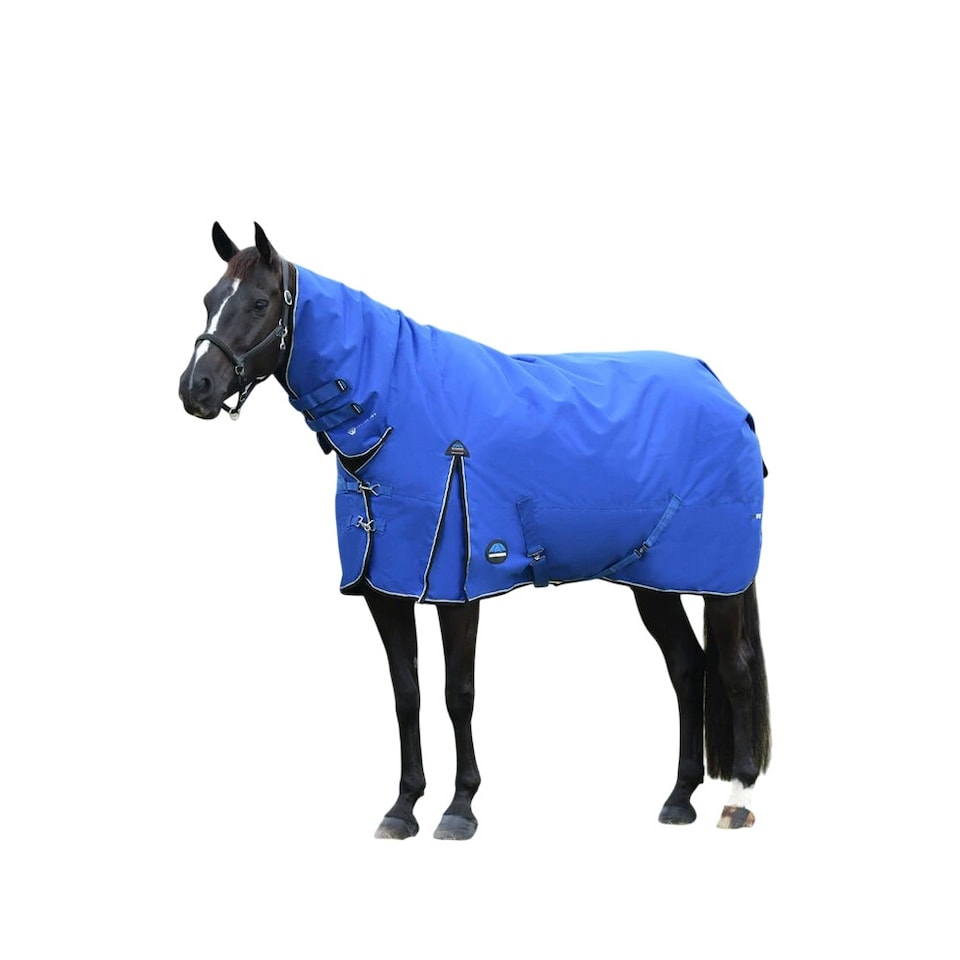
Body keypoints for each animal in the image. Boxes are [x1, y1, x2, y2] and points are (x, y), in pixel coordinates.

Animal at [179, 222, 771, 838]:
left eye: (259, 303)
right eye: (209, 300)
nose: (195, 389)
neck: (396, 414)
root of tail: (724, 394)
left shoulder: (455, 589)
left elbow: (456, 693)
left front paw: (459, 808)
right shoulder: (384, 590)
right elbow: (407, 694)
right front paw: (403, 807)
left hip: (719, 580)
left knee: (734, 670)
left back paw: (739, 799)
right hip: (652, 578)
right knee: (687, 666)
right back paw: (679, 799)